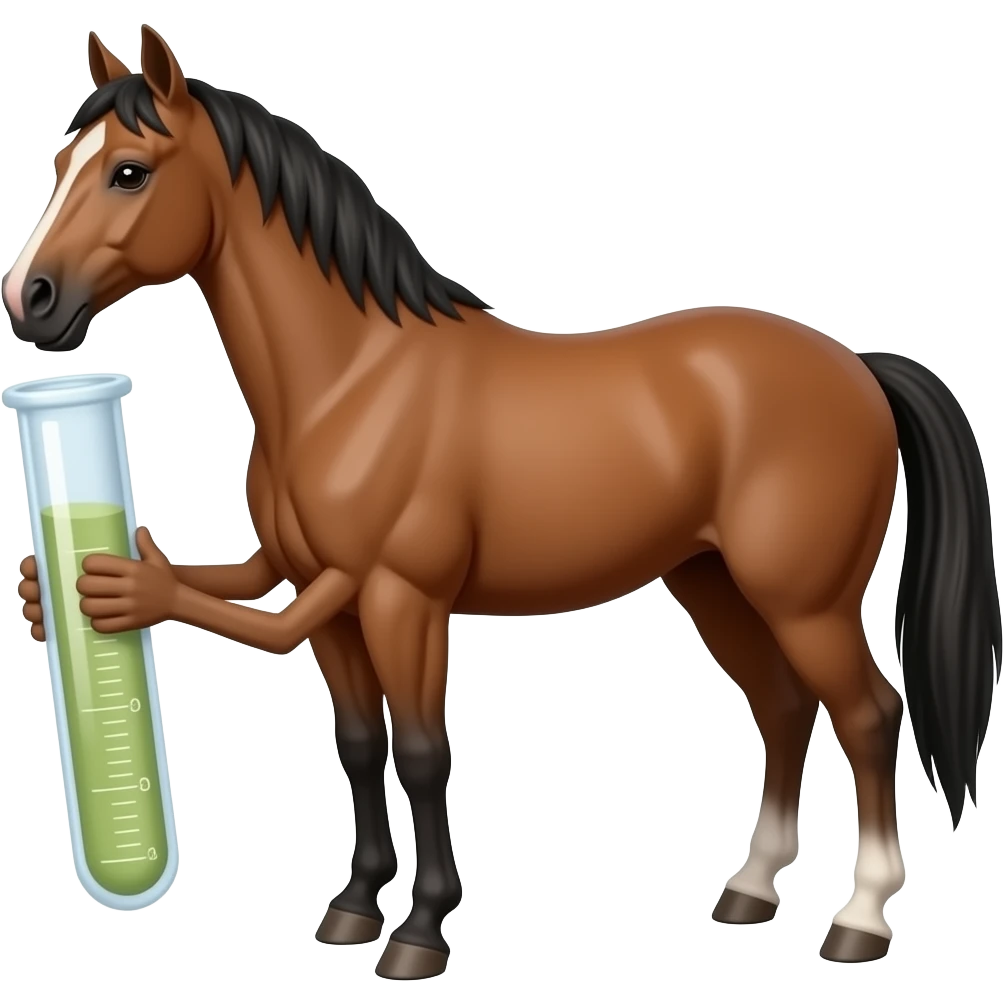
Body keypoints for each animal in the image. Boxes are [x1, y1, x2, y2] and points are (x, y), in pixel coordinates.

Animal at [6, 27, 1000, 978]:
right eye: (59, 165)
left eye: (130, 171)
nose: (30, 298)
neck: (352, 382)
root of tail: (857, 367)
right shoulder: (329, 606)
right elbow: (358, 745)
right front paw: (354, 908)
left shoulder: (404, 600)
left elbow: (421, 753)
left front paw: (419, 932)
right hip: (714, 583)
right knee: (784, 708)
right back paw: (750, 890)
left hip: (806, 602)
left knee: (869, 716)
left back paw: (860, 919)